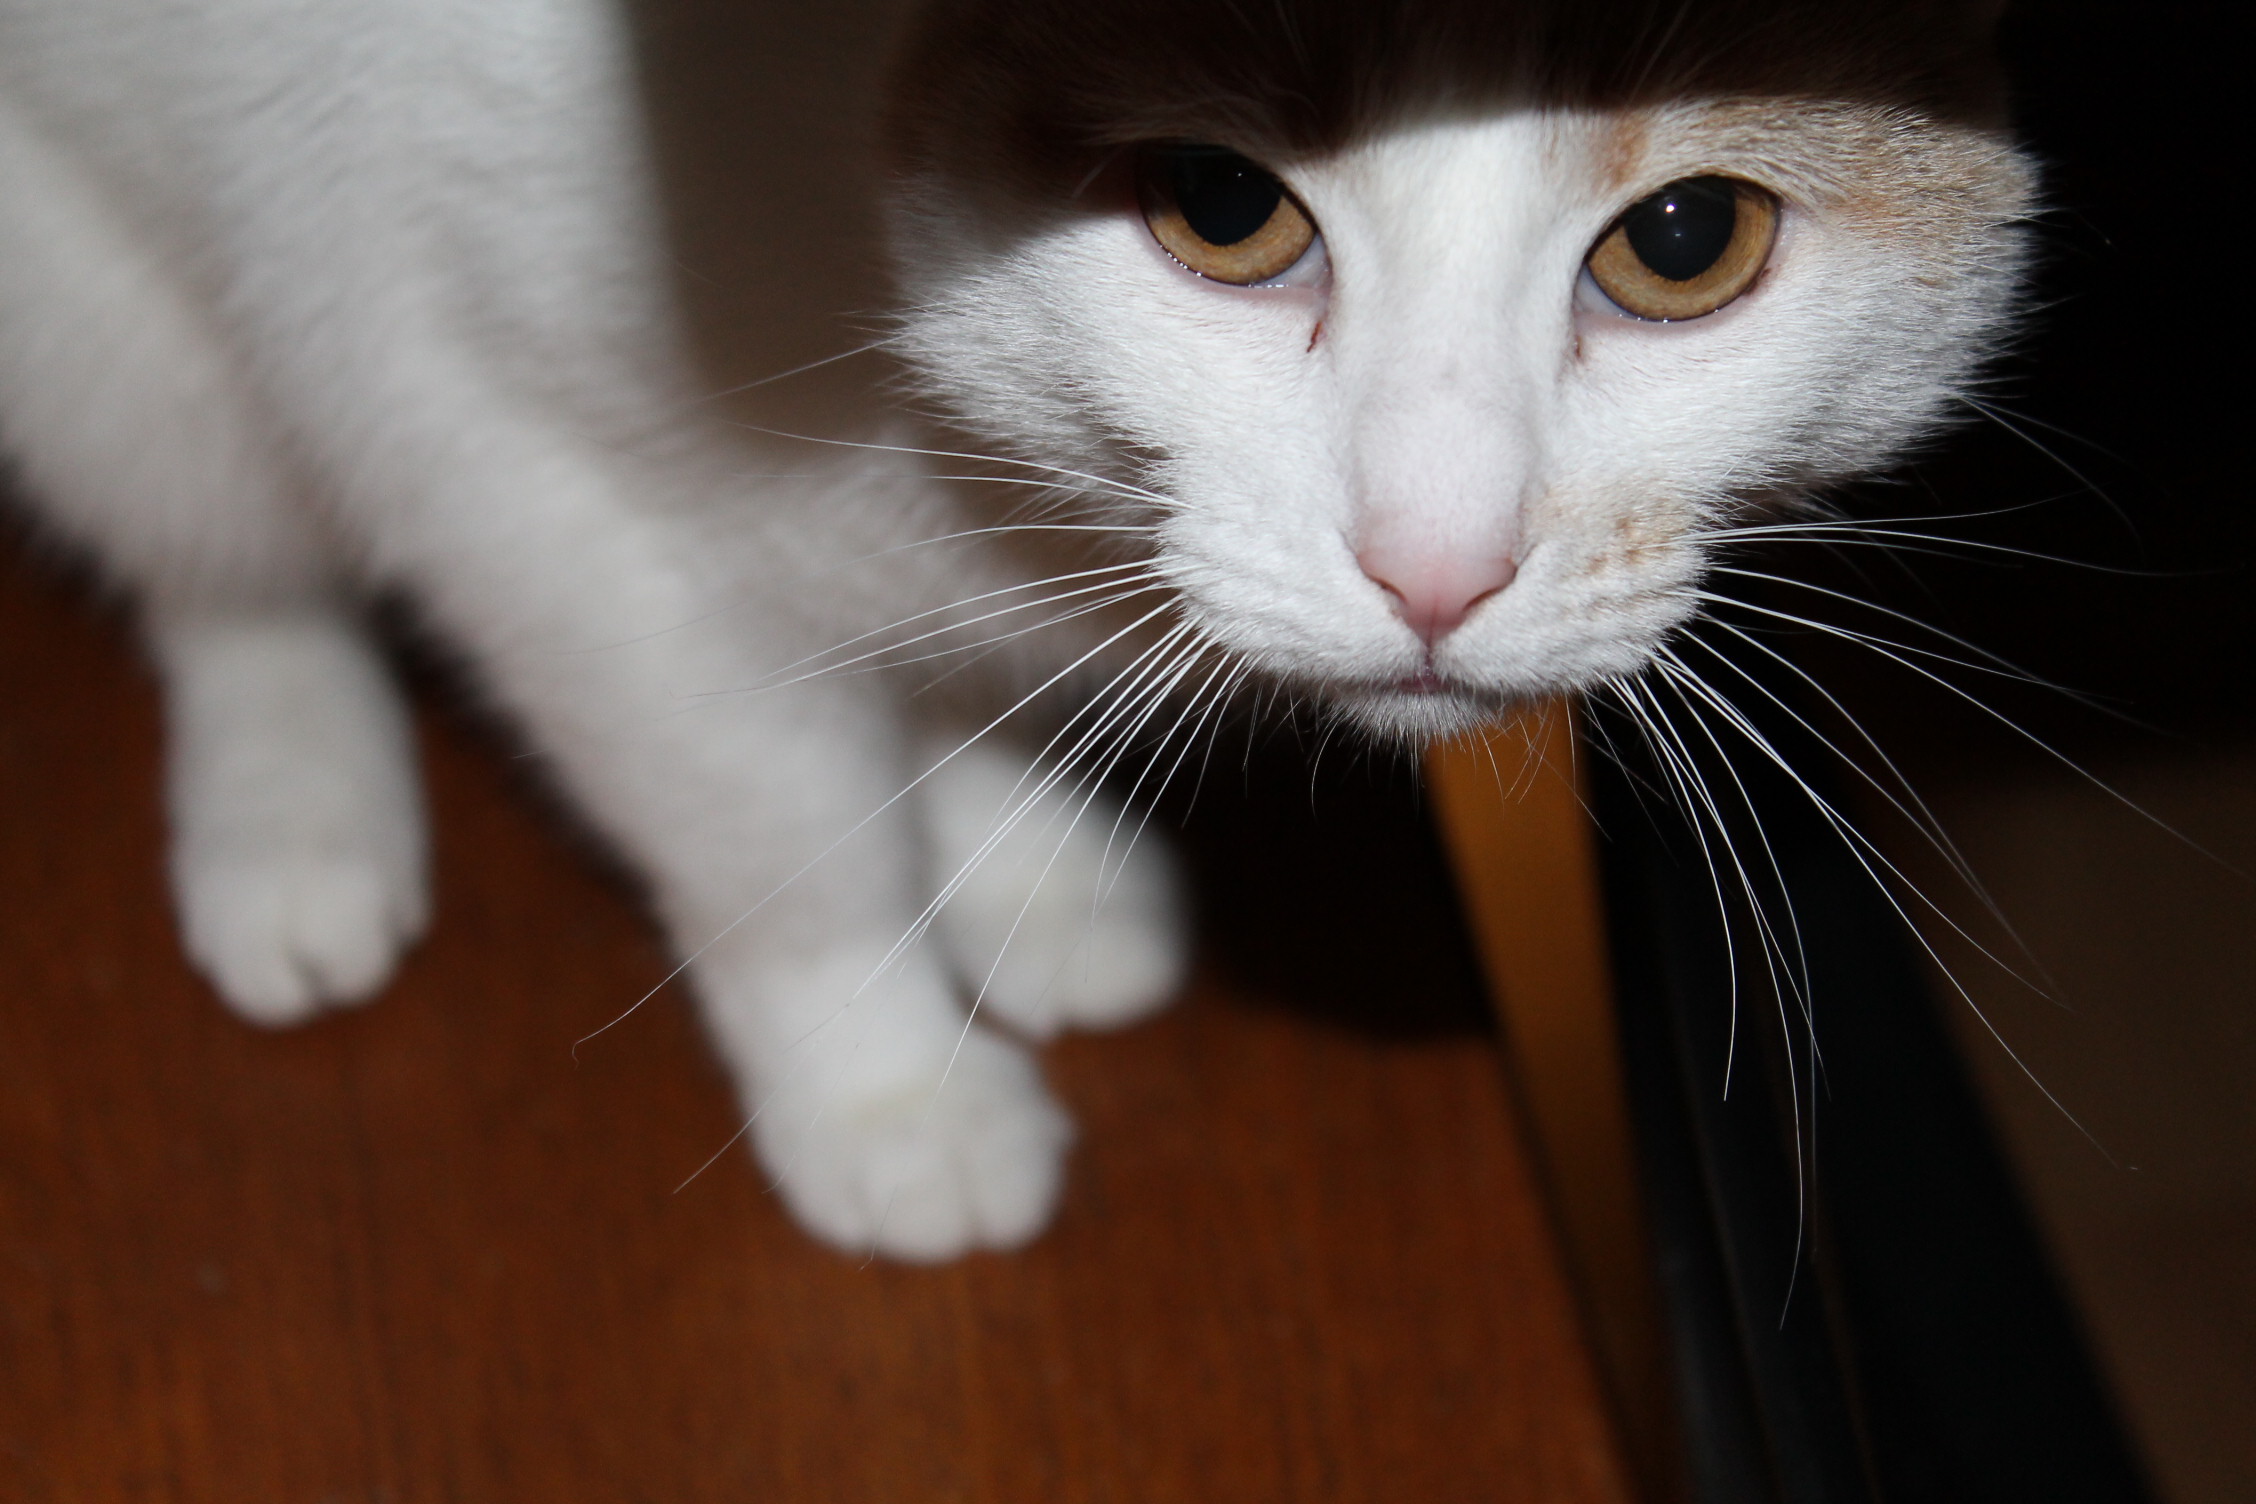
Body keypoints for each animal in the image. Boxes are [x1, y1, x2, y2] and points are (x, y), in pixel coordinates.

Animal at [0, 0, 2030, 1262]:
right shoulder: (526, 480)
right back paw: (293, 816)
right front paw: (888, 1082)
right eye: (1220, 204)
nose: (1437, 564)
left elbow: (985, 692)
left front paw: (1025, 851)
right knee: (223, 557)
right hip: (104, 316)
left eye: (1686, 240)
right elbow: (780, 841)